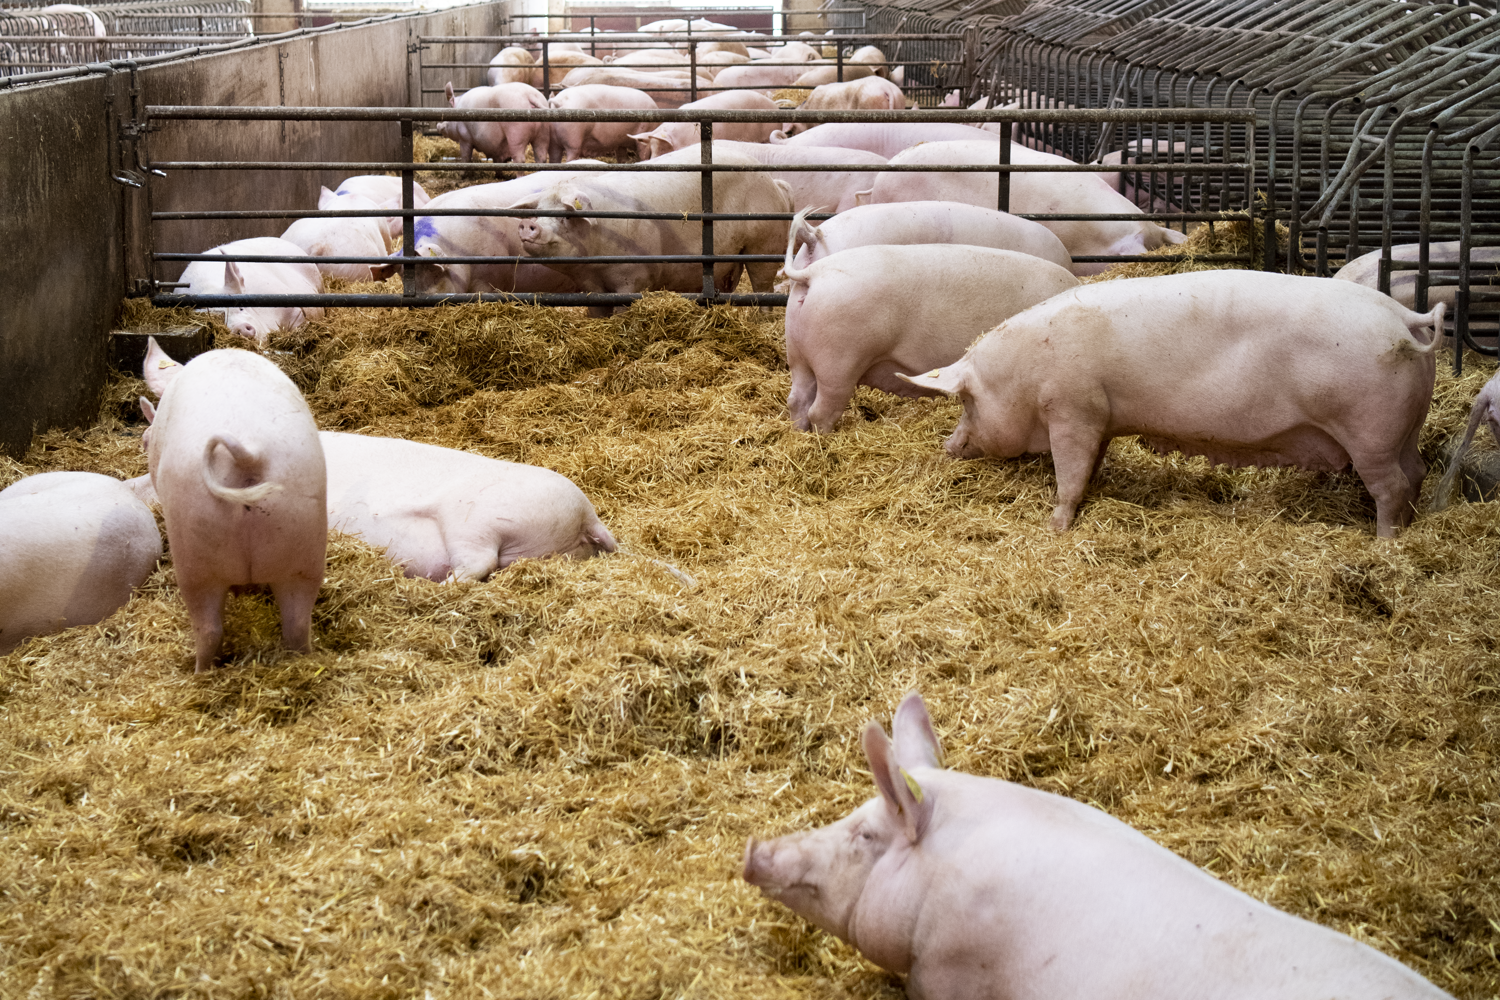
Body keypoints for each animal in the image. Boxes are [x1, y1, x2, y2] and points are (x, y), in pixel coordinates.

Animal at [139, 338, 326, 672]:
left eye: (146, 441)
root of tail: (250, 454)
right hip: (304, 543)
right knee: (297, 626)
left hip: (195, 551)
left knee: (209, 629)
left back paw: (199, 672)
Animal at [514, 146, 793, 315]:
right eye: (539, 211)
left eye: (564, 215)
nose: (528, 224)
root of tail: (776, 184)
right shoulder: (590, 287)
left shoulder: (632, 278)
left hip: (763, 244)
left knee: (763, 287)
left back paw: (760, 320)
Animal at [781, 209, 1079, 432]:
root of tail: (814, 272)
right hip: (839, 361)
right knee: (821, 410)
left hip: (798, 353)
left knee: (797, 400)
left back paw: (800, 434)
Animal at [898, 272, 1447, 537]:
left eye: (966, 402)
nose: (949, 446)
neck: (1022, 376)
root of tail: (1406, 318)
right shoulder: (1101, 418)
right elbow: (1091, 466)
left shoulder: (1074, 408)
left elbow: (1070, 474)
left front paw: (1054, 527)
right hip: (1403, 428)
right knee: (1417, 472)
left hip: (1369, 430)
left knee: (1392, 486)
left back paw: (1384, 544)